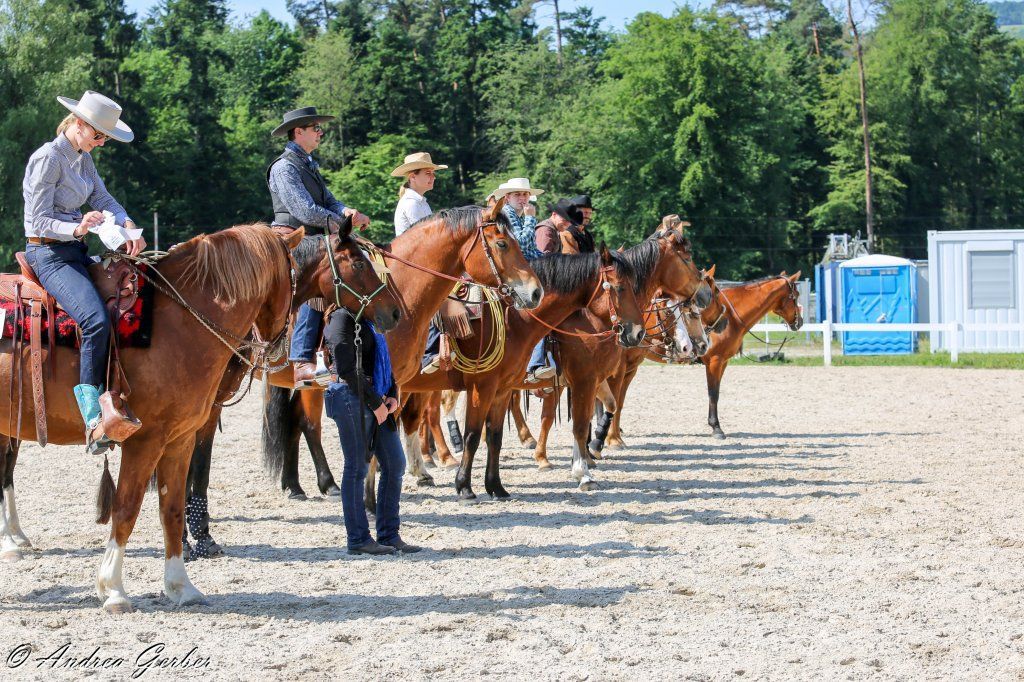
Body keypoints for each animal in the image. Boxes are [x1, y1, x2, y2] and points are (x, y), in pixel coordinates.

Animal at [0, 224, 301, 612]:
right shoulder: (145, 441)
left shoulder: (180, 440)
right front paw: (113, 589)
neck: (181, 321)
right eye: (295, 279)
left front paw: (180, 587)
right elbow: (126, 508)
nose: (280, 351)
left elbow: (171, 509)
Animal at [392, 244, 648, 502]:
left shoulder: (505, 389)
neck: (513, 320)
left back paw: (421, 473)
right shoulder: (487, 387)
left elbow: (496, 437)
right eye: (620, 287)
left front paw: (496, 487)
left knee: (410, 420)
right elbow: (474, 435)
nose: (638, 332)